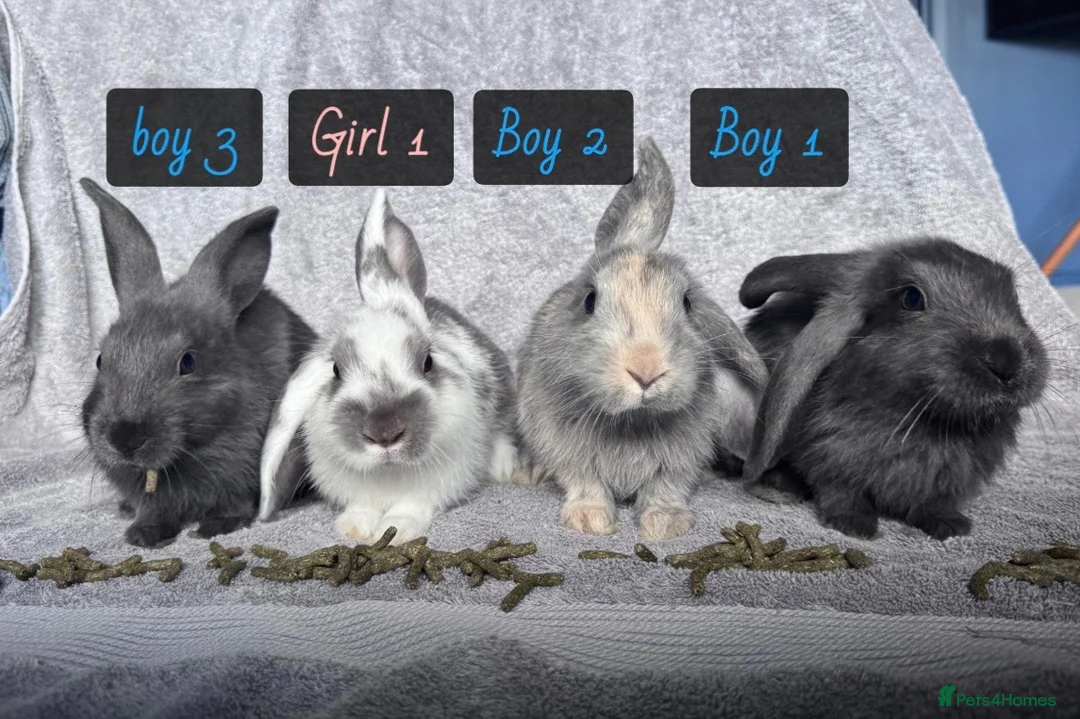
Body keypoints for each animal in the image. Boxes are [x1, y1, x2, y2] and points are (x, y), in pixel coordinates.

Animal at [79, 179, 317, 548]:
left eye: (188, 362)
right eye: (101, 359)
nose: (125, 438)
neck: (187, 452)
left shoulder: (241, 475)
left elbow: (234, 505)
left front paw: (212, 528)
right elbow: (153, 511)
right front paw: (142, 536)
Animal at [258, 189, 517, 545]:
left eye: (428, 362)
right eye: (336, 371)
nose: (385, 433)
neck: (389, 472)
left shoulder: (433, 485)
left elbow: (409, 509)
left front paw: (394, 531)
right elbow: (361, 507)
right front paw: (354, 528)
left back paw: (504, 467)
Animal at [515, 137, 768, 541]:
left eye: (687, 303)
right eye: (589, 300)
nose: (646, 371)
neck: (633, 421)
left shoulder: (681, 457)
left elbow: (666, 487)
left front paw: (666, 525)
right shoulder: (565, 447)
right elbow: (584, 482)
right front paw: (591, 521)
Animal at [738, 238, 1049, 540]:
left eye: (1012, 293)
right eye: (911, 298)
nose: (1007, 362)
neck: (928, 421)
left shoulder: (946, 480)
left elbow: (933, 503)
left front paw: (950, 526)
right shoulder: (832, 455)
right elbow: (840, 490)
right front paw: (853, 525)